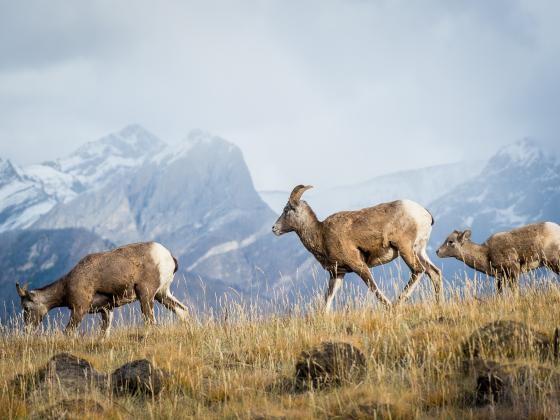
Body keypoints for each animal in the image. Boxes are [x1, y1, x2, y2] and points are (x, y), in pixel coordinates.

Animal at [15, 241, 188, 336]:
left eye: (26, 308)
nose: (27, 330)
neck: (66, 286)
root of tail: (169, 257)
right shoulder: (106, 310)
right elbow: (104, 333)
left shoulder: (79, 309)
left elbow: (68, 332)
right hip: (161, 294)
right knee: (182, 310)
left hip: (145, 295)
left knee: (151, 321)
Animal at [272, 185, 442, 310]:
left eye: (286, 210)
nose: (274, 228)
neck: (321, 234)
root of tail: (424, 214)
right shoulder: (337, 274)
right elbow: (328, 299)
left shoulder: (359, 266)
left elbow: (374, 289)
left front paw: (389, 308)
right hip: (419, 251)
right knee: (434, 272)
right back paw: (438, 304)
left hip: (405, 249)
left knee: (418, 270)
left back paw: (397, 303)